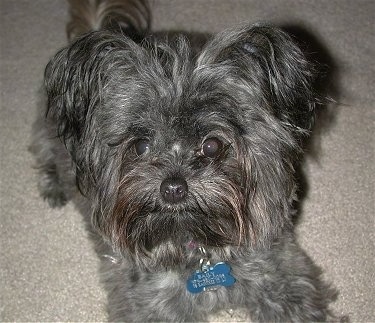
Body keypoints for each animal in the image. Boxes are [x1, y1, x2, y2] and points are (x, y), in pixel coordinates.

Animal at [30, 0, 340, 322]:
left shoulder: (283, 274)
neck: (199, 251)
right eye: (141, 145)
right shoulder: (147, 305)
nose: (173, 188)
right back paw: (52, 184)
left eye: (212, 145)